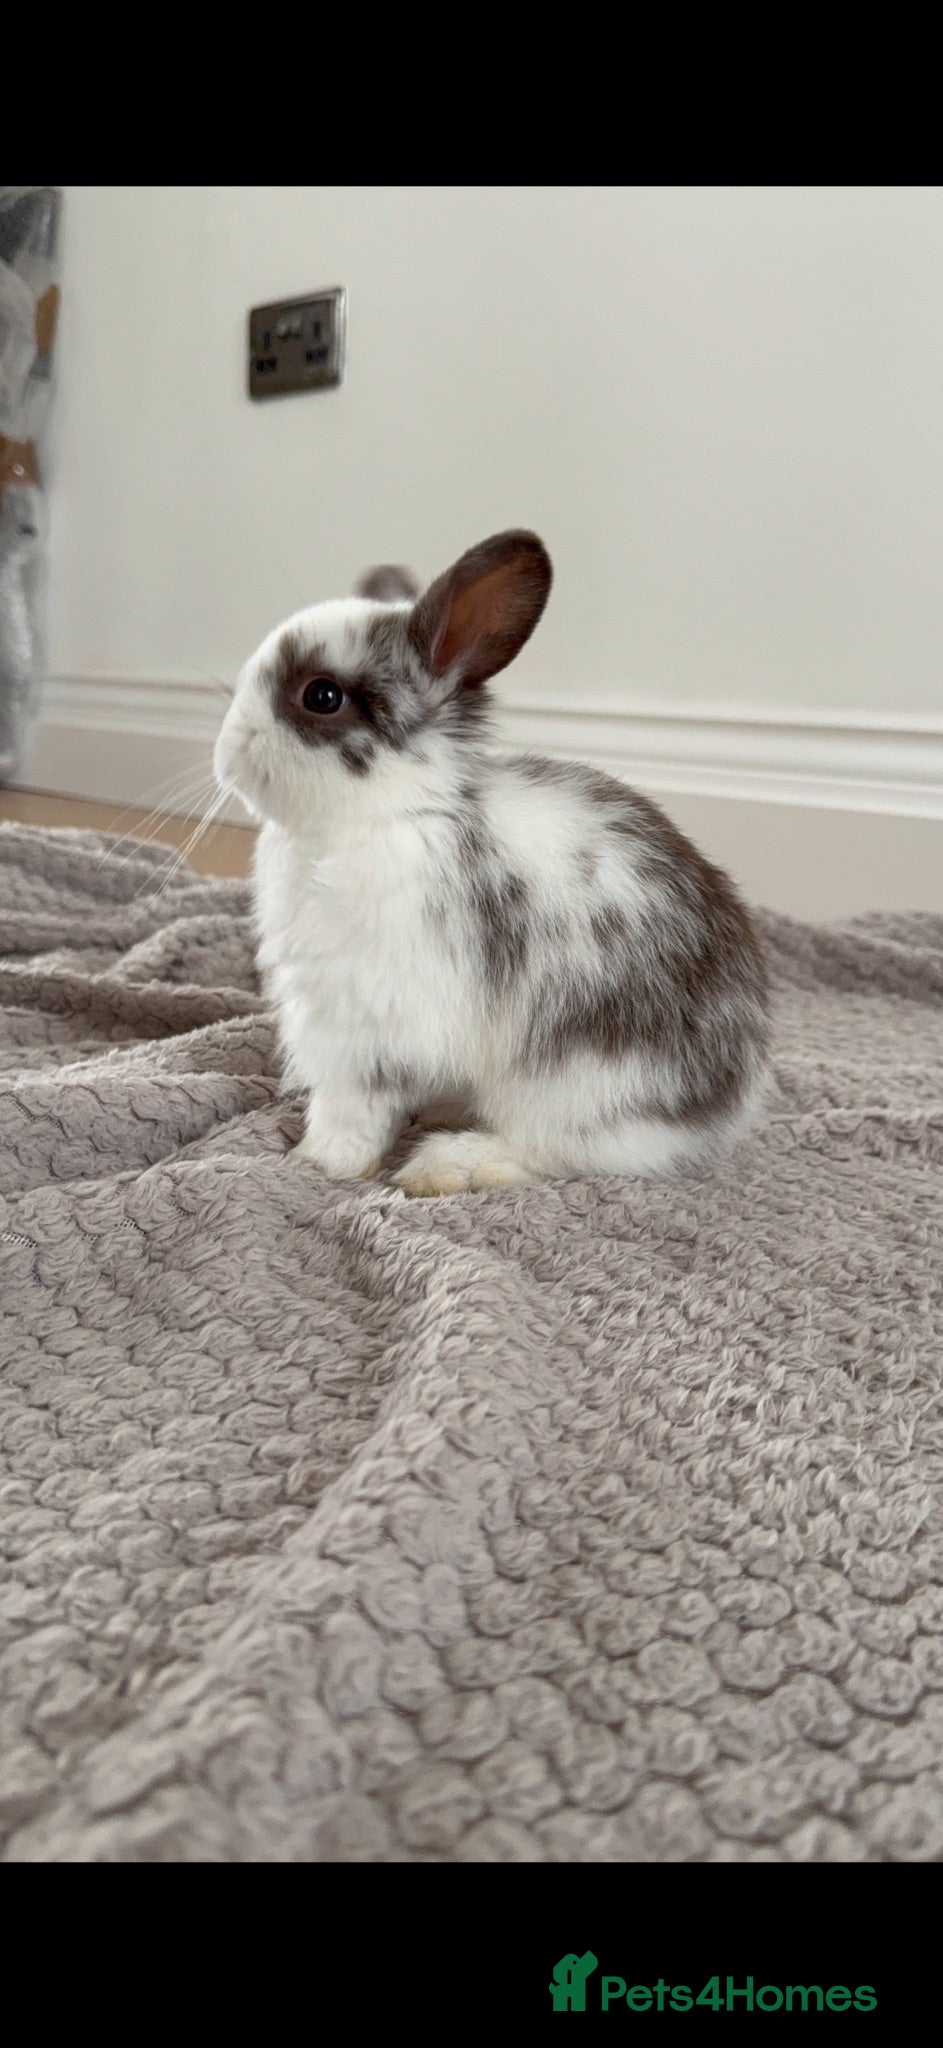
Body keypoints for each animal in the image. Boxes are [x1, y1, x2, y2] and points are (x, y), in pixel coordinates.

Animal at [213, 530, 770, 1196]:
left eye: (321, 695)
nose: (227, 750)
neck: (397, 810)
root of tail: (728, 1104)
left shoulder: (364, 1025)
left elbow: (351, 1105)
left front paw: (316, 1163)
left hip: (574, 1083)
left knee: (563, 1153)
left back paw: (447, 1163)